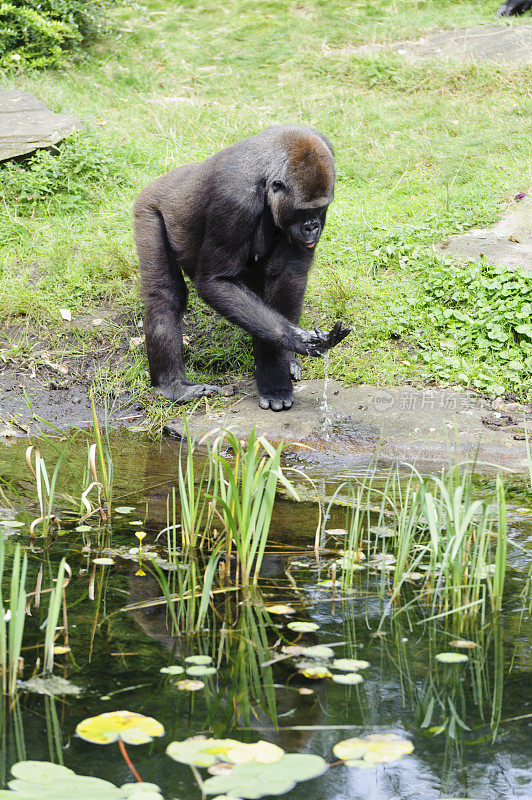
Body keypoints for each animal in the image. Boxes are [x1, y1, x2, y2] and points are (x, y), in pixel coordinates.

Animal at [133, 126, 350, 412]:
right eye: (303, 211)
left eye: (321, 208)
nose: (312, 227)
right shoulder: (235, 200)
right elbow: (217, 282)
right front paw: (293, 342)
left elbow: (289, 276)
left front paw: (282, 361)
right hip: (147, 208)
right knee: (165, 298)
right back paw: (173, 386)